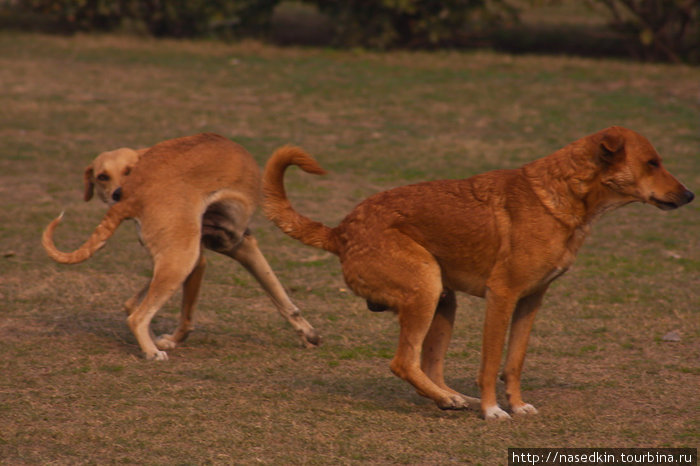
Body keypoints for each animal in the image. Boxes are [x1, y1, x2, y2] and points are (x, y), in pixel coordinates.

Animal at [45, 134, 322, 360]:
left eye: (128, 170)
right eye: (102, 177)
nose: (116, 193)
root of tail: (133, 195)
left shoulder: (208, 255)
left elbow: (280, 297)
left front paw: (308, 335)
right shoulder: (231, 247)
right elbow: (189, 316)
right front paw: (167, 342)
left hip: (176, 261)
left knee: (134, 308)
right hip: (181, 261)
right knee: (137, 317)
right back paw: (152, 352)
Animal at [264, 126, 696, 418]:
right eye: (652, 163)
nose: (690, 195)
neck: (562, 193)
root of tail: (340, 231)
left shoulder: (530, 302)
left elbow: (513, 362)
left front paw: (516, 405)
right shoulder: (501, 298)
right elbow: (490, 364)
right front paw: (493, 411)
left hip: (443, 301)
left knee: (427, 365)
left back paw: (451, 398)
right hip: (425, 289)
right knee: (403, 362)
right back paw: (453, 399)